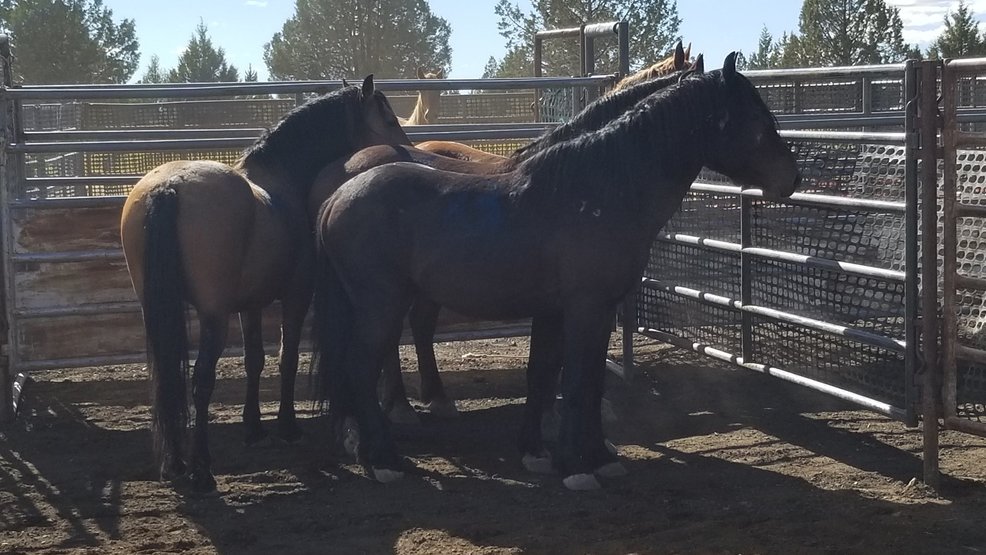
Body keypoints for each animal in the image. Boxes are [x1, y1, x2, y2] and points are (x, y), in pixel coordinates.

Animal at [120, 76, 411, 493]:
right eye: (388, 118)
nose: (406, 149)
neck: (282, 180)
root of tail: (169, 186)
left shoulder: (251, 304)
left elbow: (254, 360)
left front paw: (254, 428)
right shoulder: (295, 295)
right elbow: (286, 357)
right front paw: (287, 426)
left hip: (156, 312)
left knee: (165, 378)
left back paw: (174, 464)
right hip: (213, 316)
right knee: (201, 380)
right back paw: (201, 470)